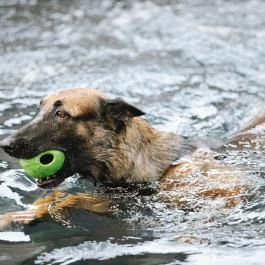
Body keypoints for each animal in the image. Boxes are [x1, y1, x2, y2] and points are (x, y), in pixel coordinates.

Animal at [0, 88, 260, 227]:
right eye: (38, 110)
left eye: (62, 114)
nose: (5, 145)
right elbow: (53, 196)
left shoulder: (120, 201)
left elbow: (67, 198)